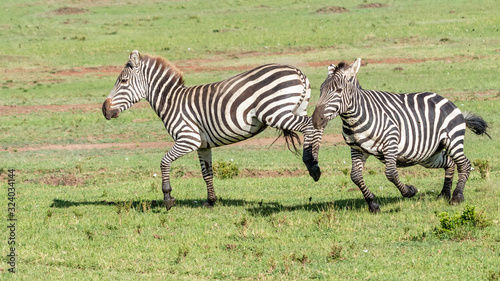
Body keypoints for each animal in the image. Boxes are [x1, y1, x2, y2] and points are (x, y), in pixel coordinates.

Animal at [101, 49, 324, 208]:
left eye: (123, 81)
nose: (104, 110)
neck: (171, 101)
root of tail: (297, 72)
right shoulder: (203, 145)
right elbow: (207, 173)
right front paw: (211, 200)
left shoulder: (188, 139)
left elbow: (164, 162)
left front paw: (167, 197)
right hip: (295, 109)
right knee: (316, 126)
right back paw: (314, 162)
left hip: (276, 112)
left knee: (310, 127)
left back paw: (311, 163)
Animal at [310, 59, 490, 212]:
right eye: (321, 90)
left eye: (339, 90)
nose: (316, 120)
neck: (355, 117)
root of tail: (447, 100)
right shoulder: (357, 149)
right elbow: (355, 176)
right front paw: (373, 204)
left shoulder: (390, 142)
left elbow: (391, 173)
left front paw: (409, 191)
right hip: (429, 155)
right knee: (450, 163)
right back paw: (443, 195)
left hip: (452, 141)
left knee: (464, 164)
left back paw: (457, 197)